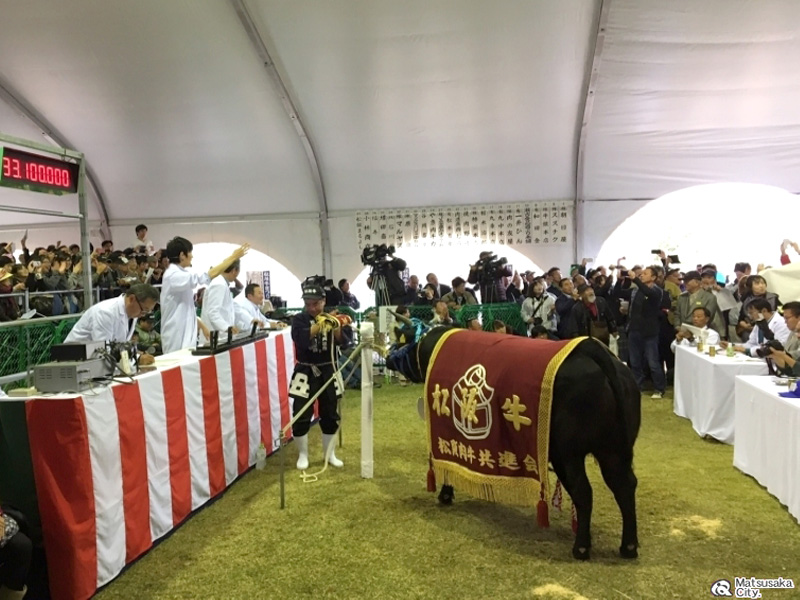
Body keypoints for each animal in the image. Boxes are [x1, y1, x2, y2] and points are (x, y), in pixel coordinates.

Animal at [388, 326, 644, 560]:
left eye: (410, 343)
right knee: (624, 485)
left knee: (584, 492)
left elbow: (445, 467)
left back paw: (581, 548)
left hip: (568, 455)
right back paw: (628, 547)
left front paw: (445, 495)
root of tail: (592, 349)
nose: (390, 357)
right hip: (613, 451)